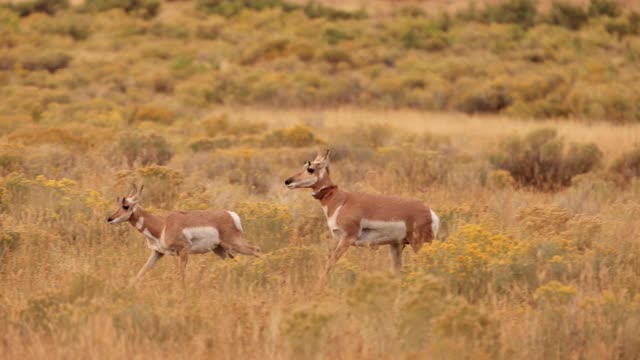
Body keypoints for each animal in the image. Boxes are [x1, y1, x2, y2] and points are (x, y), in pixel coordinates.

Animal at [106, 184, 262, 286]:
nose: (109, 219)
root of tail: (230, 214)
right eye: (118, 204)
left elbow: (181, 275)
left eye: (126, 206)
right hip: (220, 250)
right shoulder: (157, 252)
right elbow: (142, 271)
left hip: (235, 244)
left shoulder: (184, 250)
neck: (162, 224)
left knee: (257, 249)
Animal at [284, 151, 440, 272]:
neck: (341, 200)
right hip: (396, 245)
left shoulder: (346, 239)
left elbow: (330, 263)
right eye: (304, 166)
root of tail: (430, 212)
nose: (288, 181)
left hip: (419, 244)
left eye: (310, 169)